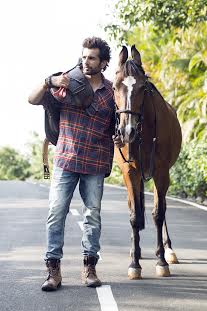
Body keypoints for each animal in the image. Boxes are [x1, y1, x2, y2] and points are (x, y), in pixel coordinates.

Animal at [112, 44, 182, 280]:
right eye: (114, 87)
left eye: (143, 88)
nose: (127, 132)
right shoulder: (130, 171)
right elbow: (135, 215)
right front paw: (134, 264)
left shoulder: (161, 172)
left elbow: (159, 213)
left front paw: (162, 260)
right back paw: (136, 250)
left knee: (161, 208)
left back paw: (168, 250)